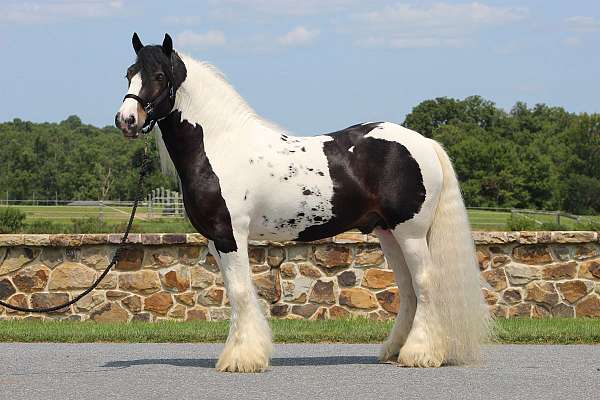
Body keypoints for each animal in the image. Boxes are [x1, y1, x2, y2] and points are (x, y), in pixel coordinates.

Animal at [113, 33, 488, 372]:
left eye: (159, 76)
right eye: (128, 73)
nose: (126, 120)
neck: (220, 147)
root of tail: (424, 142)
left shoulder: (230, 236)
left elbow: (240, 291)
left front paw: (242, 359)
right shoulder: (217, 241)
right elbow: (237, 292)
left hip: (409, 232)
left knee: (424, 282)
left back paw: (420, 354)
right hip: (388, 233)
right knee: (409, 288)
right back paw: (394, 351)